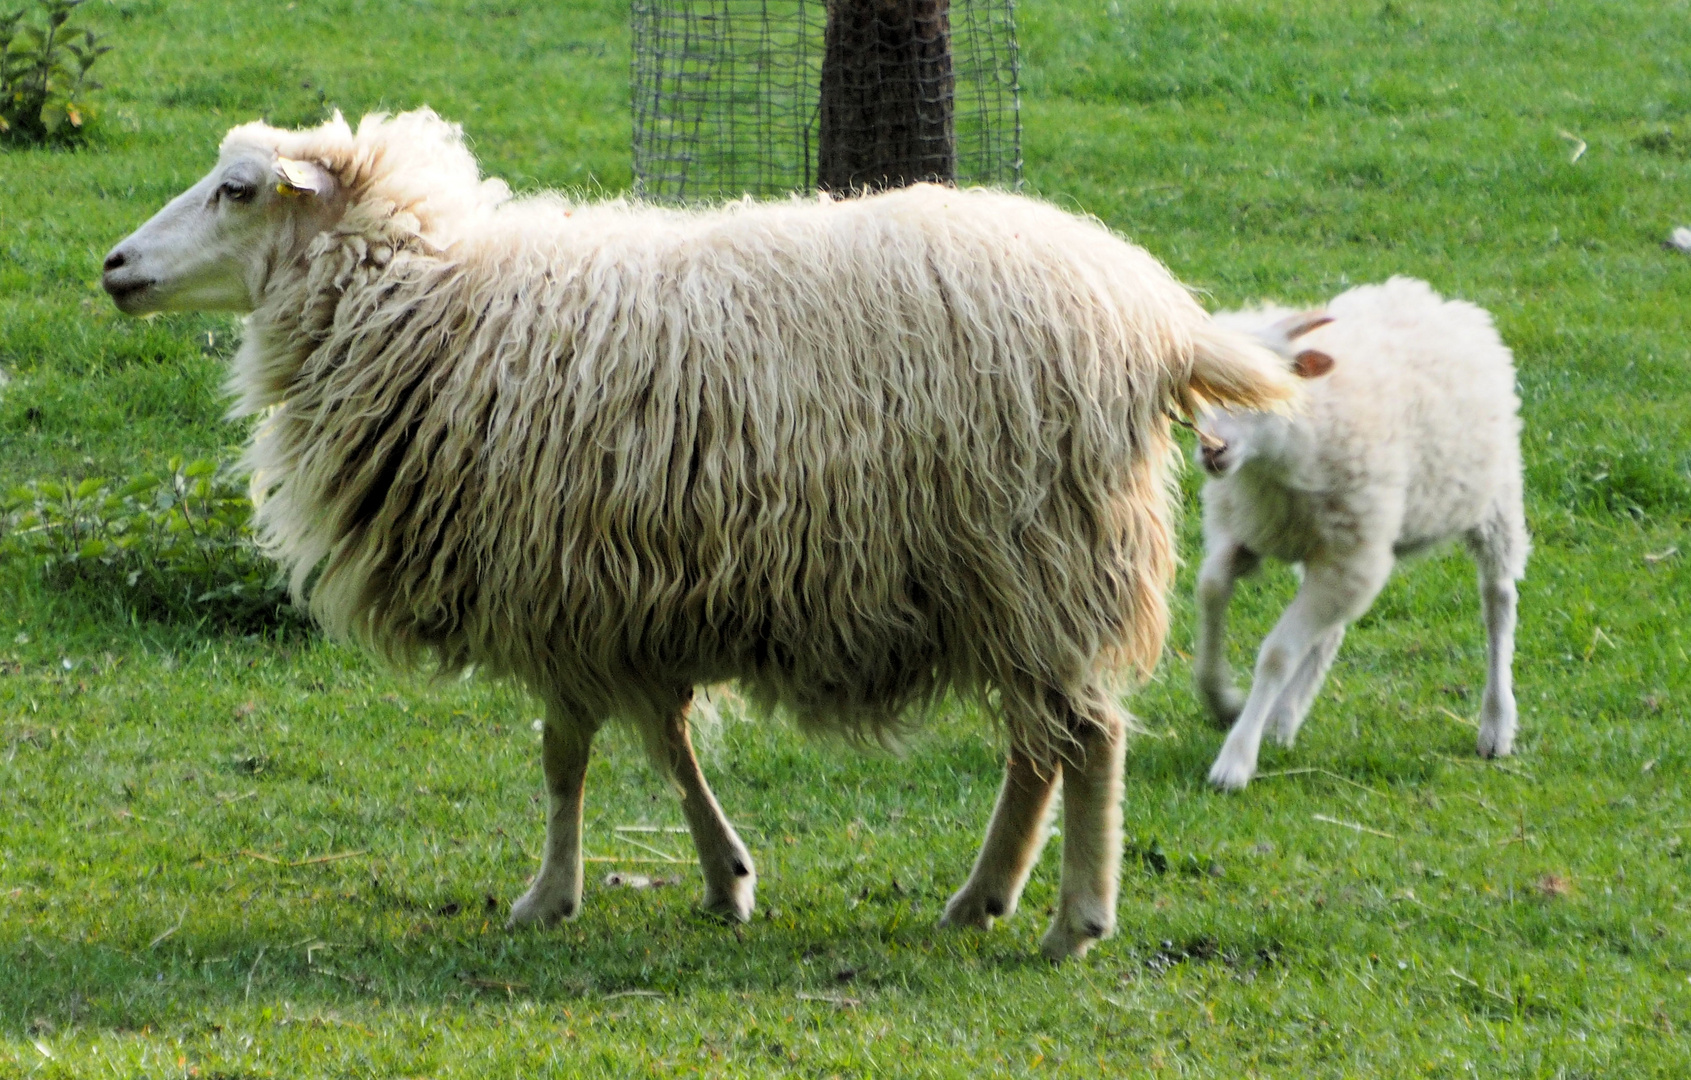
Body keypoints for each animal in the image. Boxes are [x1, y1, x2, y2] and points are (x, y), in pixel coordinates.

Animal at [102, 109, 1291, 960]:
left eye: (237, 190)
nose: (113, 266)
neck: (430, 302)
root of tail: (1154, 321)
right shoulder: (622, 600)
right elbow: (662, 744)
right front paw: (726, 880)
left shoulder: (560, 592)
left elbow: (564, 758)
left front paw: (549, 896)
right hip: (1014, 580)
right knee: (1040, 746)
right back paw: (981, 897)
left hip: (1043, 556)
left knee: (1085, 739)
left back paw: (1071, 922)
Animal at [1190, 273, 1535, 790]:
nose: (1213, 450)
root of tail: (1440, 300)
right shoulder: (1247, 531)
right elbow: (1211, 589)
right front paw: (1220, 697)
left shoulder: (1350, 556)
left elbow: (1277, 655)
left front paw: (1234, 761)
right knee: (1329, 631)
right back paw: (1284, 716)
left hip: (1492, 496)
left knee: (1499, 601)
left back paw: (1496, 725)